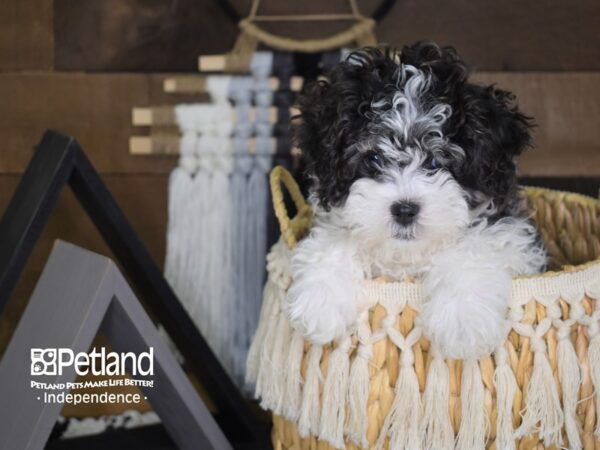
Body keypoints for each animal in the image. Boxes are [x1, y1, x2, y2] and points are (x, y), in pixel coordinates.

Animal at [288, 41, 548, 358]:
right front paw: (320, 301)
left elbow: (473, 247)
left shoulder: (512, 239)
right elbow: (337, 238)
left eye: (436, 161)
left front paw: (463, 321)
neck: (407, 257)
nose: (404, 210)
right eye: (373, 158)